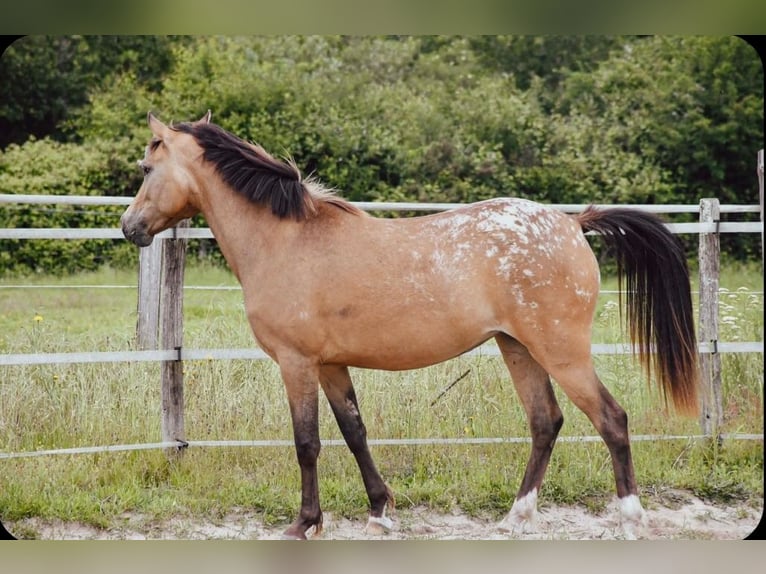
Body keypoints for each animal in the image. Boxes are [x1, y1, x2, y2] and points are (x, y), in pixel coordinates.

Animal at [121, 111, 699, 539]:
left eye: (147, 168)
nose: (130, 227)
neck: (285, 240)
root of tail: (572, 223)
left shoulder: (297, 363)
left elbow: (307, 442)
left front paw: (305, 523)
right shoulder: (331, 365)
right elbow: (354, 432)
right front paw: (380, 511)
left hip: (561, 350)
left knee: (611, 419)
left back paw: (630, 521)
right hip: (518, 348)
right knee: (545, 423)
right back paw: (515, 519)